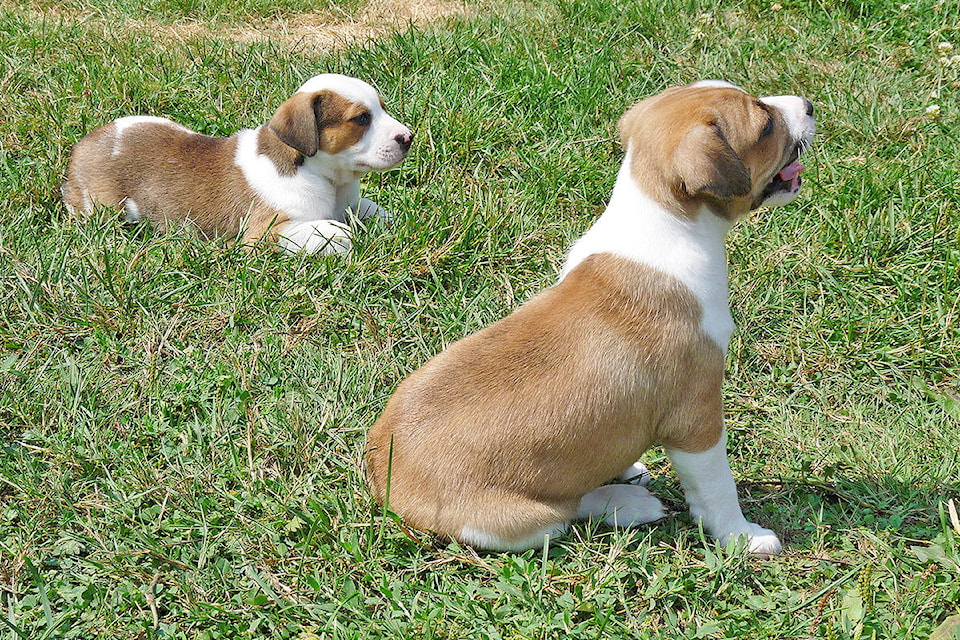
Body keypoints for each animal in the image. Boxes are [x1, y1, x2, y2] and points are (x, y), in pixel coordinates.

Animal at [60, 74, 412, 254]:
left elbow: (373, 210)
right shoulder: (263, 233)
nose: (407, 137)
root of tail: (82, 146)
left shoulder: (350, 202)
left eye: (382, 108)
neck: (325, 177)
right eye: (361, 118)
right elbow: (328, 231)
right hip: (102, 210)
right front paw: (339, 233)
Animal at [364, 82, 812, 556]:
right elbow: (717, 489)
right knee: (569, 508)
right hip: (522, 521)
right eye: (765, 125)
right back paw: (629, 503)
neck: (660, 218)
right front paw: (743, 537)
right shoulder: (696, 420)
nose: (808, 105)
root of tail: (384, 480)